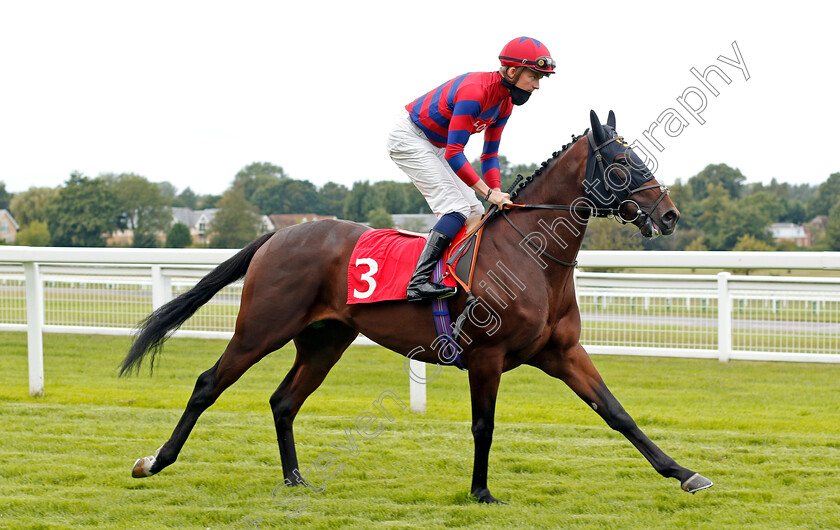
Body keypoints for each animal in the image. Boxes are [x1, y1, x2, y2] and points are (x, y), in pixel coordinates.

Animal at [123, 110, 716, 500]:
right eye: (620, 161)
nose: (669, 215)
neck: (531, 253)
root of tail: (279, 234)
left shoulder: (563, 352)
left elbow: (616, 412)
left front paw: (685, 473)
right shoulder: (486, 357)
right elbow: (483, 425)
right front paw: (481, 493)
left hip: (325, 339)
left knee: (284, 401)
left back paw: (295, 479)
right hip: (261, 327)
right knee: (208, 383)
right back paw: (154, 461)